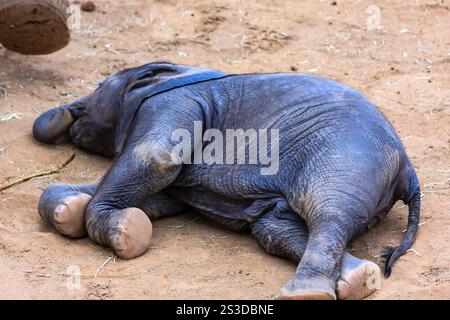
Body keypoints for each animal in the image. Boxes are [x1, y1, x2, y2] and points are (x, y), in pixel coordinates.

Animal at [32, 62, 422, 300]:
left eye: (100, 85)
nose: (67, 112)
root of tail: (407, 170)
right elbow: (162, 195)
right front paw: (69, 209)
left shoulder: (175, 102)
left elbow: (157, 159)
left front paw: (125, 231)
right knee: (274, 228)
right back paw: (357, 278)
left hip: (346, 155)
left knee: (329, 213)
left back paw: (306, 293)